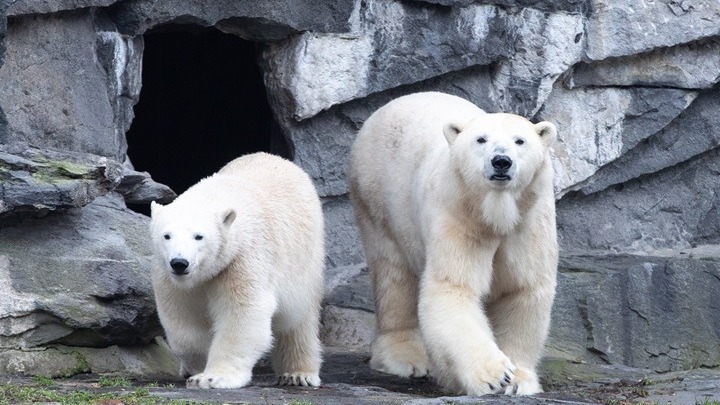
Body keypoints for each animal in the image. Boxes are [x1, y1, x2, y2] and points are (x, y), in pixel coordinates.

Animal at [149, 152, 324, 388]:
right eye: (167, 235)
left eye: (198, 236)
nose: (179, 263)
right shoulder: (170, 277)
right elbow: (183, 318)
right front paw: (195, 367)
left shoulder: (243, 258)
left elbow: (242, 313)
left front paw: (211, 377)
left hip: (304, 260)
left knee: (298, 320)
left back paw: (297, 374)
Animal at [348, 90, 556, 394]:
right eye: (481, 139)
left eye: (520, 141)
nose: (501, 161)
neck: (495, 214)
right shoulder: (459, 214)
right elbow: (453, 288)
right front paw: (495, 374)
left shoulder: (528, 223)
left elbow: (522, 290)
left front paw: (519, 380)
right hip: (378, 199)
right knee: (393, 273)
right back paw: (405, 357)